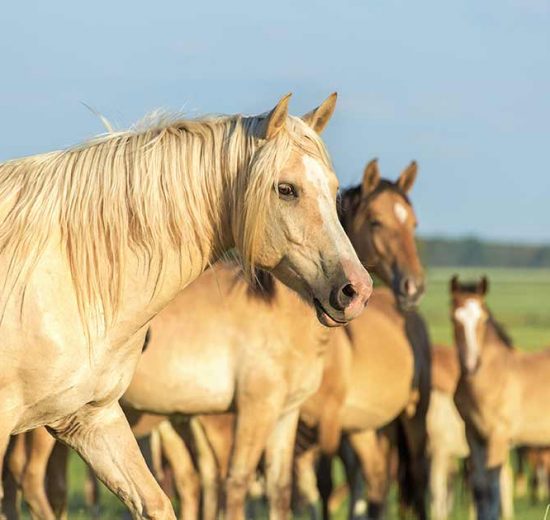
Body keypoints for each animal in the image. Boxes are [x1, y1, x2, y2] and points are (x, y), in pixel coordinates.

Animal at [0, 94, 376, 520]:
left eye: (333, 189)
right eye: (286, 189)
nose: (357, 290)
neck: (64, 274)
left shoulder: (90, 418)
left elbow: (157, 503)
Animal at [450, 278, 550, 520]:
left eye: (483, 318)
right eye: (454, 318)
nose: (471, 364)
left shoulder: (498, 435)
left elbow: (494, 486)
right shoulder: (474, 435)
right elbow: (479, 486)